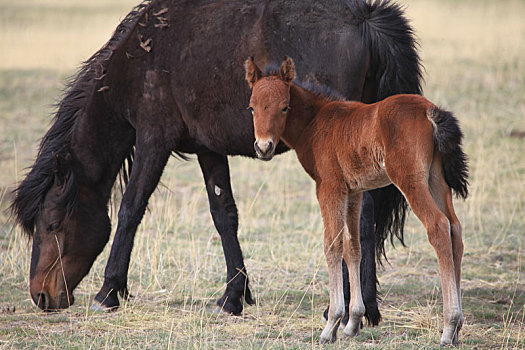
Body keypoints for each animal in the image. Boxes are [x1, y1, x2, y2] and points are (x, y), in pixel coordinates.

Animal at [9, 0, 422, 322]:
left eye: (52, 224)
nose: (40, 296)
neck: (140, 58)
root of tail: (365, 18)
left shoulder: (154, 140)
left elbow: (130, 209)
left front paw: (109, 291)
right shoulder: (209, 149)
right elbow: (224, 216)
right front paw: (233, 297)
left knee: (361, 218)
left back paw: (356, 309)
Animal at [244, 56, 468, 346]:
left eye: (285, 107)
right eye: (252, 107)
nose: (263, 147)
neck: (317, 122)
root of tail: (431, 110)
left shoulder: (329, 188)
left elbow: (332, 245)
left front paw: (331, 324)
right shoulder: (354, 191)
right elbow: (353, 247)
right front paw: (353, 323)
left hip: (410, 180)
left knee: (439, 226)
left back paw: (449, 326)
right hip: (436, 178)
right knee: (455, 229)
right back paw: (459, 327)